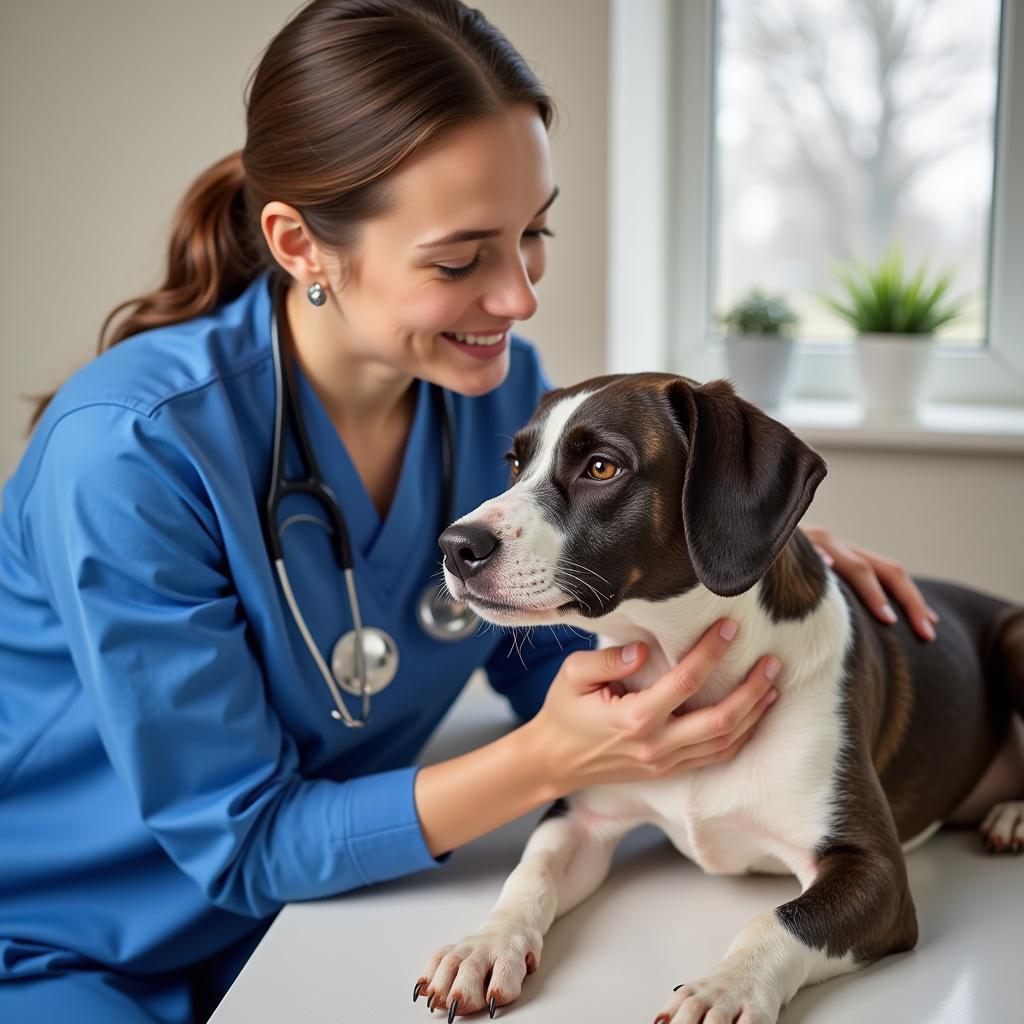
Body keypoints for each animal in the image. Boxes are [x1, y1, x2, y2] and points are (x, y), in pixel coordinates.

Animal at [411, 374, 1019, 1024]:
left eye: (601, 467)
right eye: (515, 463)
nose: (454, 545)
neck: (681, 667)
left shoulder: (873, 867)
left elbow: (780, 920)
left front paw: (726, 986)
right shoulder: (580, 816)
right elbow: (530, 874)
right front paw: (482, 945)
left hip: (1015, 637)